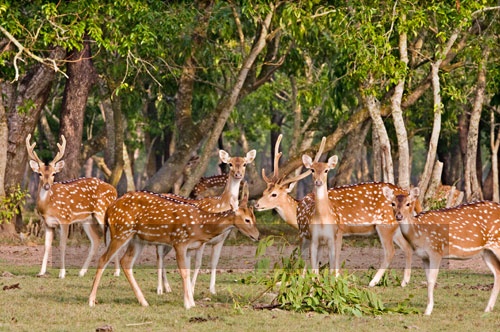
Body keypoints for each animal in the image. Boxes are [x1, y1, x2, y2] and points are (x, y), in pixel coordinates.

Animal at [25, 134, 119, 278]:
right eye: (39, 173)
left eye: (53, 174)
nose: (46, 186)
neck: (48, 206)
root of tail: (114, 191)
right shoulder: (48, 223)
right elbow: (47, 246)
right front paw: (41, 272)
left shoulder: (65, 218)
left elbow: (62, 245)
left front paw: (62, 273)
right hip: (87, 219)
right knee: (96, 240)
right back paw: (82, 272)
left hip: (102, 212)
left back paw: (116, 272)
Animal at [88, 191, 260, 310]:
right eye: (247, 220)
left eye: (255, 218)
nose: (258, 236)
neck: (201, 227)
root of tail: (109, 209)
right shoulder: (180, 241)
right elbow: (183, 272)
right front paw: (188, 304)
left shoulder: (189, 248)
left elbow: (188, 272)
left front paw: (192, 302)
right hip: (121, 231)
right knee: (103, 259)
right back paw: (91, 300)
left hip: (137, 239)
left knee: (126, 262)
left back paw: (143, 301)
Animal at [155, 149, 258, 294]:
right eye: (230, 164)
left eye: (244, 164)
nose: (238, 174)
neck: (220, 205)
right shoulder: (201, 240)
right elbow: (198, 263)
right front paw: (192, 289)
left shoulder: (220, 240)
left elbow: (214, 263)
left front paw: (212, 290)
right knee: (159, 256)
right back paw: (159, 289)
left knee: (163, 256)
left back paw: (168, 288)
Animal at [256, 134, 416, 286]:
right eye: (263, 192)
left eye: (274, 194)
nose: (256, 204)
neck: (298, 209)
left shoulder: (330, 233)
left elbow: (326, 260)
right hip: (396, 227)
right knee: (407, 247)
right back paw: (404, 281)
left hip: (385, 225)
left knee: (390, 251)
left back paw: (373, 282)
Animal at [382, 185, 500, 316]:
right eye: (392, 203)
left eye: (408, 203)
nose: (399, 216)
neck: (418, 234)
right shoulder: (424, 256)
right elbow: (427, 280)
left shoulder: (436, 250)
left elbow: (432, 281)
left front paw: (428, 311)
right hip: (487, 251)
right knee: (497, 272)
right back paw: (488, 308)